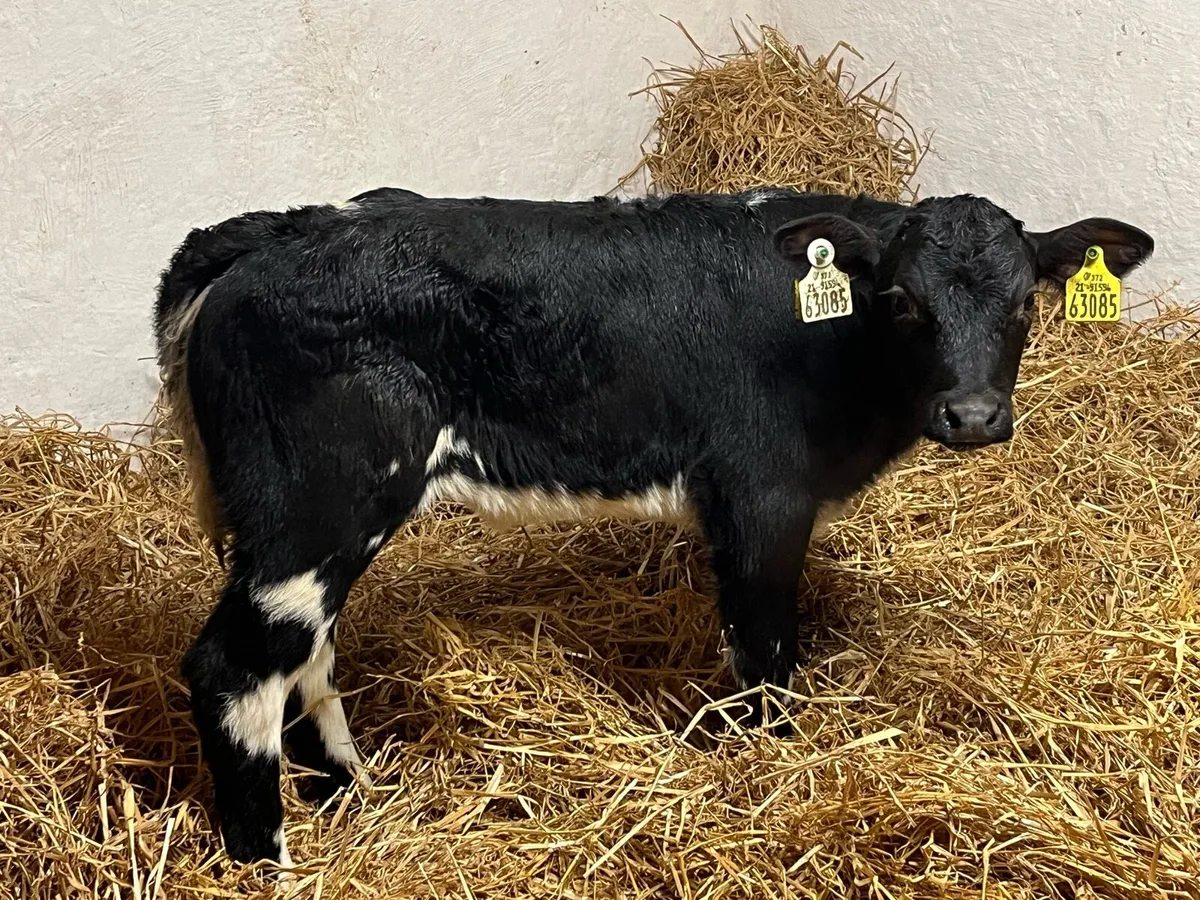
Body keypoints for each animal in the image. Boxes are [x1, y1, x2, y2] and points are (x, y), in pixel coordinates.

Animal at [154, 185, 1152, 868]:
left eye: (1026, 303)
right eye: (904, 300)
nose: (974, 415)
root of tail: (273, 233)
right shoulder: (760, 496)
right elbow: (764, 656)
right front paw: (771, 775)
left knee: (306, 657)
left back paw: (356, 797)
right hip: (317, 504)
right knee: (235, 667)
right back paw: (269, 859)